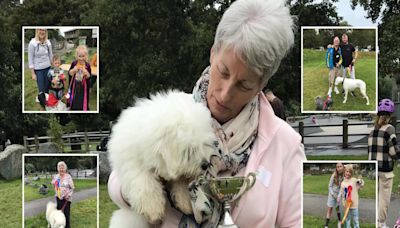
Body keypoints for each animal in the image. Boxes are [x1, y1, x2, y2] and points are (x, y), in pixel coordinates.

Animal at [107, 91, 216, 228]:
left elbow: (180, 182)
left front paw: (185, 203)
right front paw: (153, 211)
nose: (206, 164)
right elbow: (144, 183)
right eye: (189, 150)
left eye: (204, 145)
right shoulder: (132, 164)